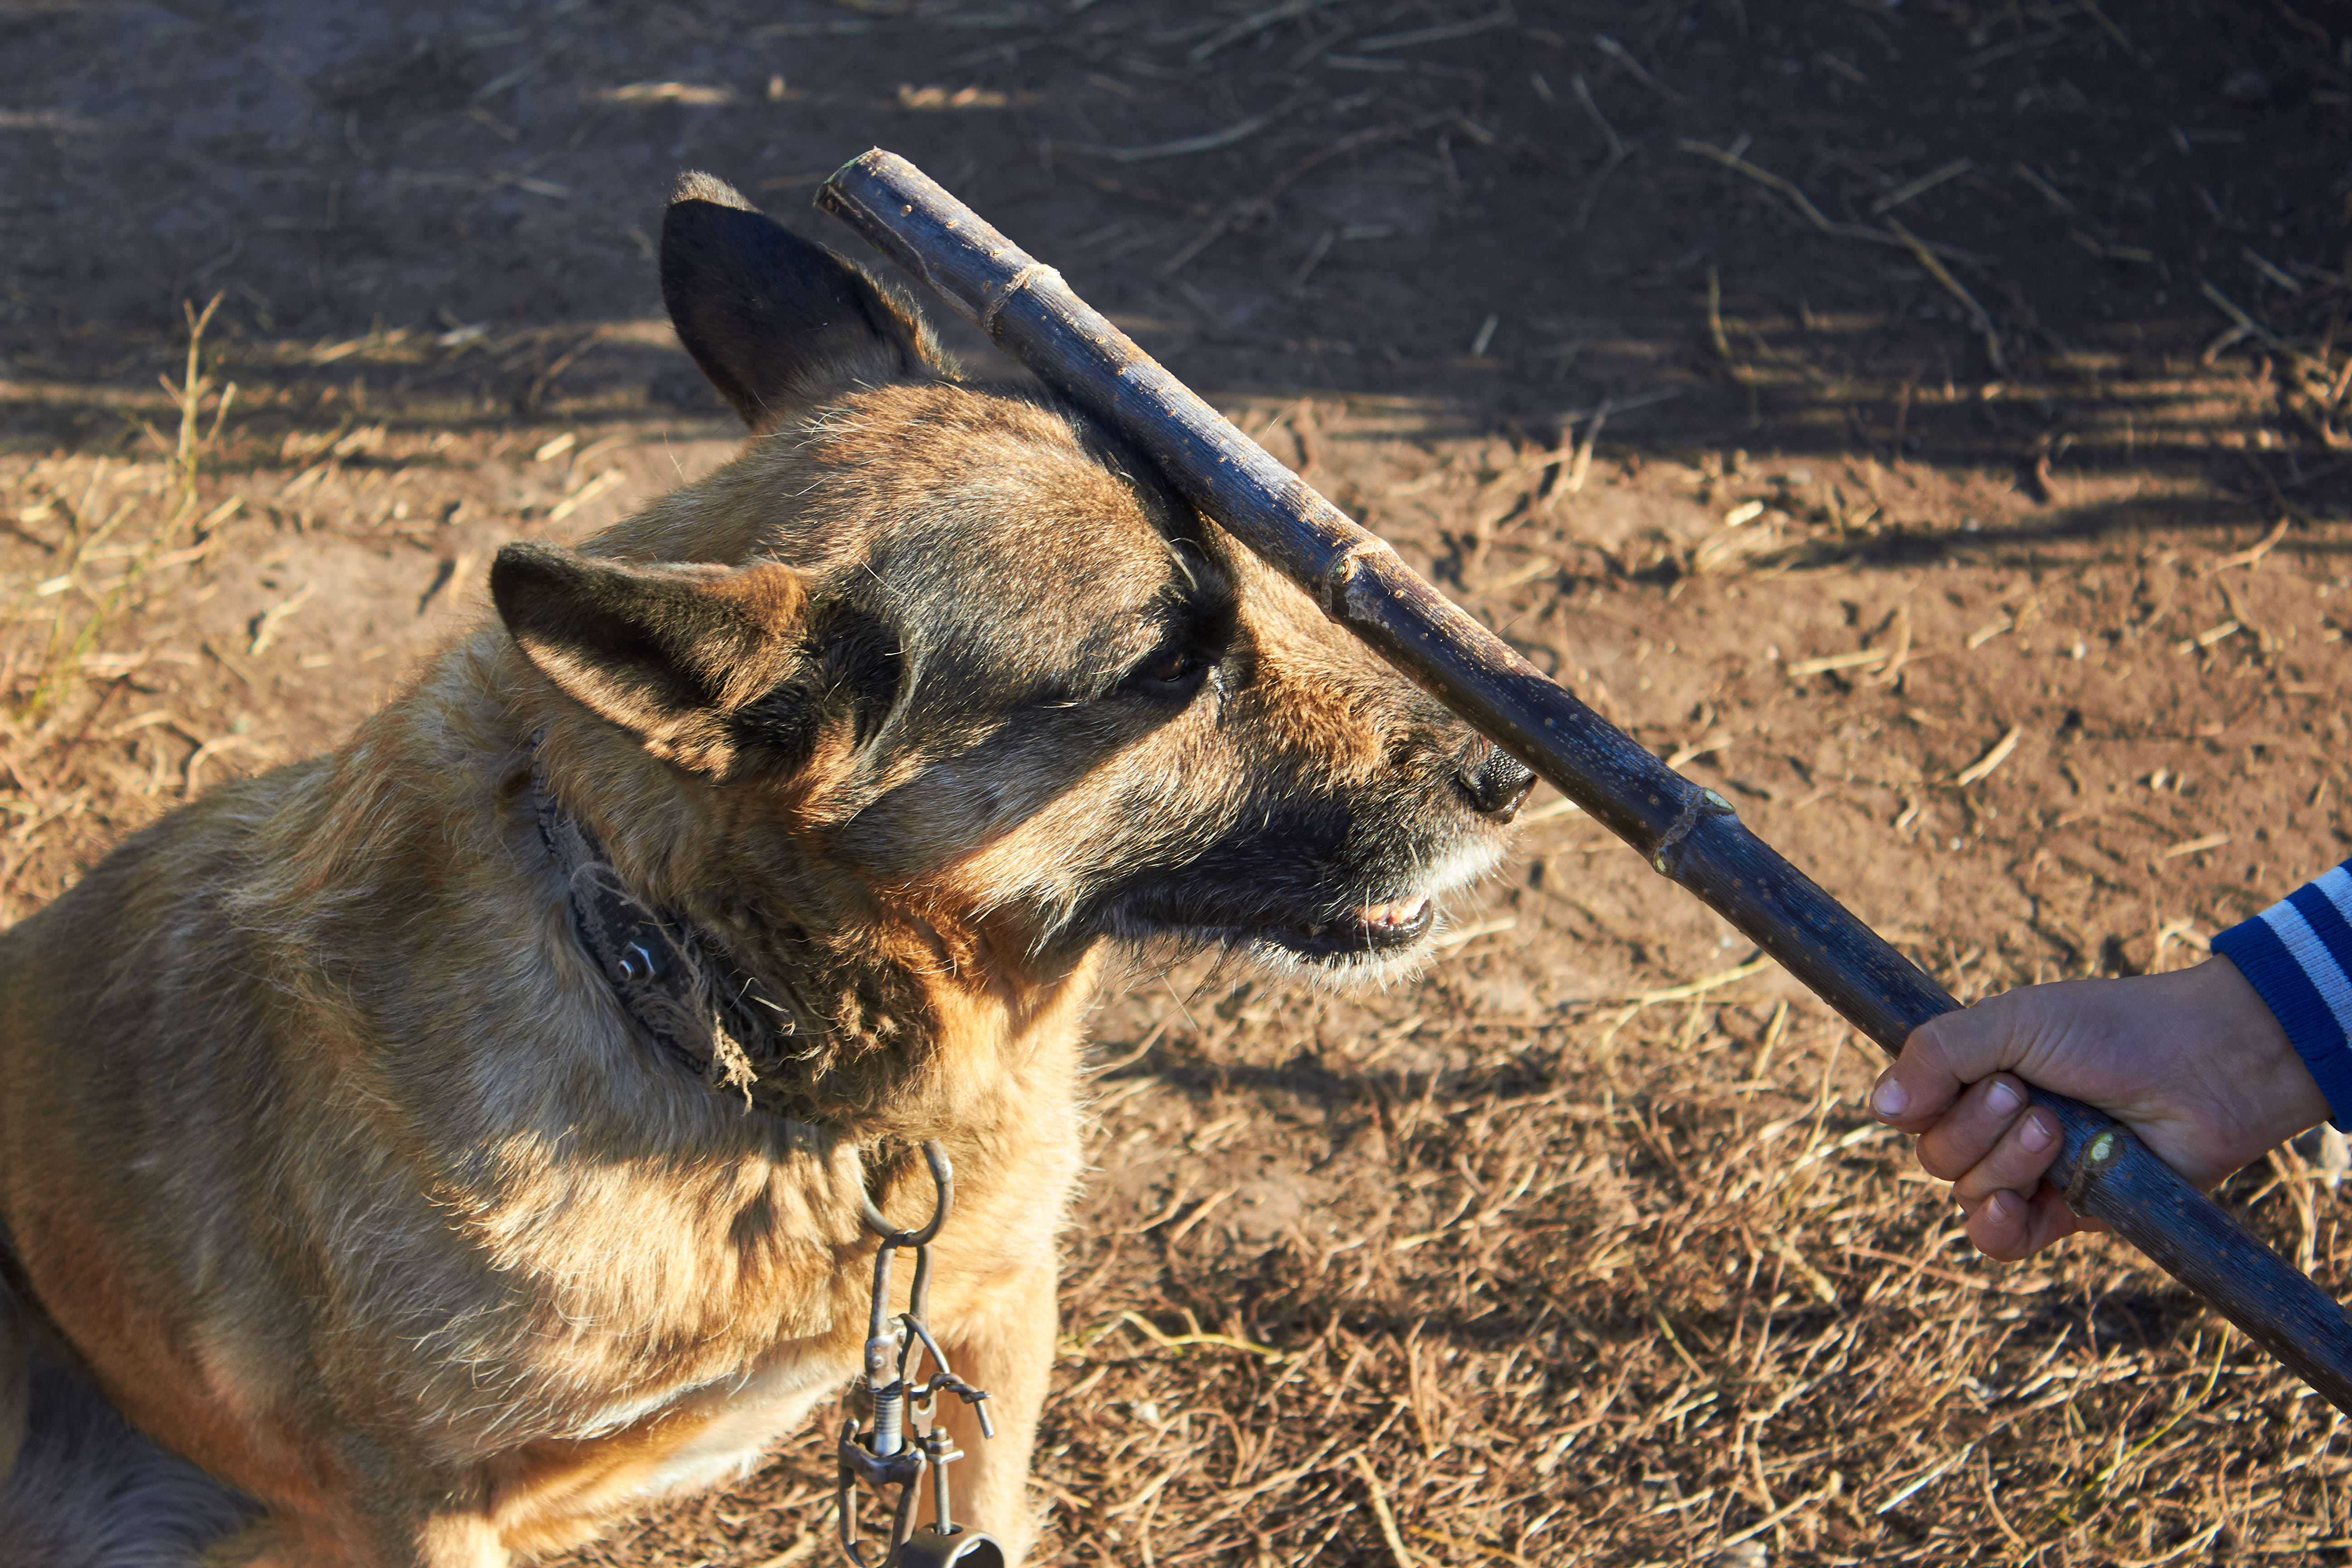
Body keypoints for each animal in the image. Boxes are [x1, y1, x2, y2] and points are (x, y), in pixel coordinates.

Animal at [0, 177, 1533, 1561]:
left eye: (1245, 573)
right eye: (1168, 664)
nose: (1511, 776)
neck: (711, 1010)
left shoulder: (992, 1315)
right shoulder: (426, 1510)